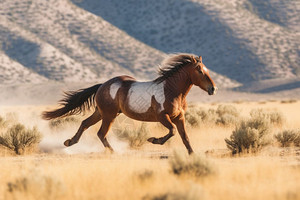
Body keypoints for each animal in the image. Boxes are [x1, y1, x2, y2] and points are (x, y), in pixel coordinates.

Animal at [42, 53, 217, 155]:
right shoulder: (163, 117)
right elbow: (173, 131)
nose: (213, 89)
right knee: (101, 133)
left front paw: (192, 154)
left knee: (85, 124)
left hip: (101, 113)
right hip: (109, 115)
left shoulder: (179, 117)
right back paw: (113, 152)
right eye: (200, 70)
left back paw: (69, 142)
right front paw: (153, 140)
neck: (171, 90)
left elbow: (184, 137)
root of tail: (102, 85)